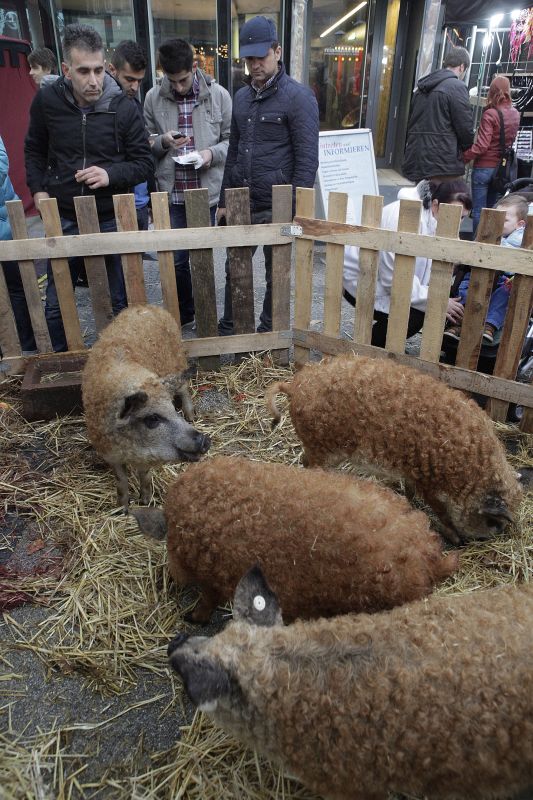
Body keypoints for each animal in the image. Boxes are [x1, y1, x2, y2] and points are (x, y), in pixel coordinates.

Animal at [82, 305, 210, 510]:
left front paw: (145, 502)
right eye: (152, 419)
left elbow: (144, 473)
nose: (205, 440)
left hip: (177, 360)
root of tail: (147, 307)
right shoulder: (109, 453)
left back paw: (191, 416)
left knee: (184, 387)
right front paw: (121, 509)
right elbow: (121, 480)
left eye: (172, 409)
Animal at [266, 354, 523, 544]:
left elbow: (410, 491)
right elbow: (440, 510)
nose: (483, 540)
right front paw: (455, 538)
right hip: (321, 447)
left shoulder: (414, 471)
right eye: (494, 522)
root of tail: (295, 386)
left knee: (304, 461)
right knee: (312, 467)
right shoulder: (429, 482)